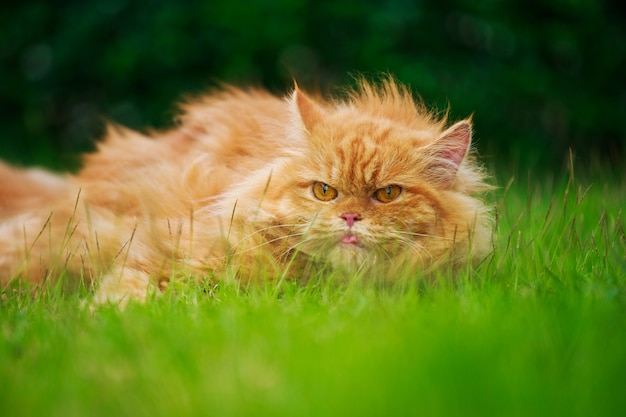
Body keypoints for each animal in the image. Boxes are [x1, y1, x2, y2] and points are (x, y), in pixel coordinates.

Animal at [1, 77, 492, 306]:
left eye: (388, 195)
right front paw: (105, 317)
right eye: (324, 191)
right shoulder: (159, 249)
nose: (350, 218)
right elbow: (131, 294)